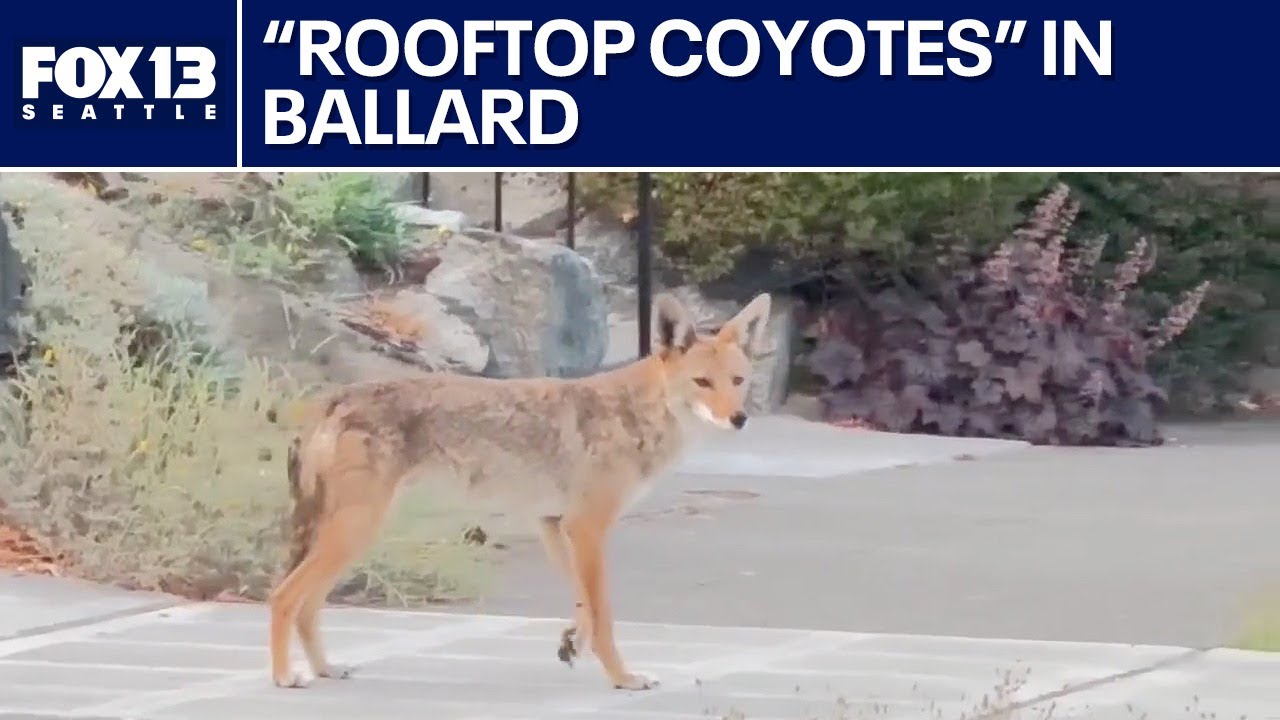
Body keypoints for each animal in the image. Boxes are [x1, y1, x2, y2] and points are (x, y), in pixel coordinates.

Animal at [267, 291, 772, 691]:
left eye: (738, 382)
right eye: (702, 382)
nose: (739, 418)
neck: (634, 415)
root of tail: (333, 398)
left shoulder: (553, 524)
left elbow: (583, 605)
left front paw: (572, 644)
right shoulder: (588, 528)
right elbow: (604, 614)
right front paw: (623, 678)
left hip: (354, 536)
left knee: (307, 607)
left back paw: (326, 669)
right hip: (354, 532)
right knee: (284, 597)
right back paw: (285, 676)